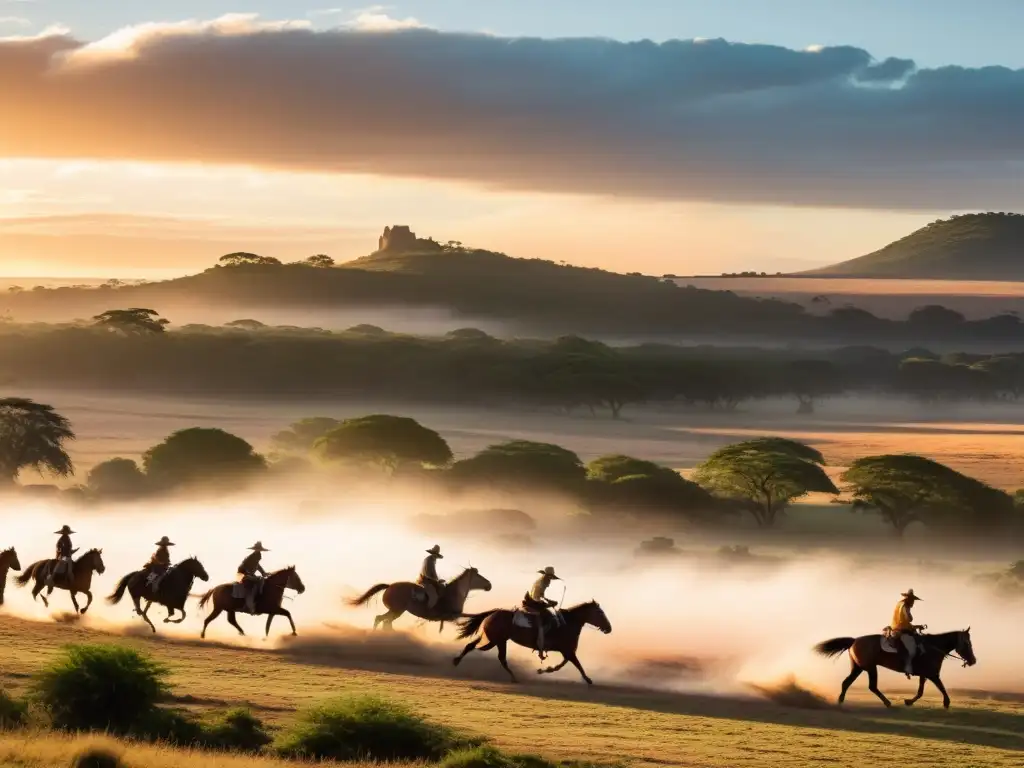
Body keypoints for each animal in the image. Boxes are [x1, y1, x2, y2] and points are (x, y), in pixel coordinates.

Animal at [350, 569, 493, 634]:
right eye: (479, 576)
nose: (489, 585)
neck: (454, 594)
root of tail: (389, 586)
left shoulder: (452, 617)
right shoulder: (452, 616)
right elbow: (474, 615)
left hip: (395, 611)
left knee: (383, 621)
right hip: (397, 610)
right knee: (382, 620)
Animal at [454, 602, 610, 684]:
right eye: (600, 613)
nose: (609, 628)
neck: (567, 624)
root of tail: (494, 612)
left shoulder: (567, 651)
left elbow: (563, 664)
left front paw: (546, 669)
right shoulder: (568, 651)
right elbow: (577, 664)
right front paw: (588, 679)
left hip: (496, 640)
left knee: (478, 648)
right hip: (496, 639)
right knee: (488, 653)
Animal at [815, 626, 974, 712]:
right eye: (967, 643)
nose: (973, 660)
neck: (933, 647)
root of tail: (854, 640)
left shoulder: (925, 675)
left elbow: (920, 692)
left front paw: (909, 701)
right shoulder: (932, 674)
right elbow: (941, 688)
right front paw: (946, 703)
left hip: (858, 668)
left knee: (846, 683)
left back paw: (840, 702)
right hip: (870, 668)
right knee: (872, 686)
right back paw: (887, 703)